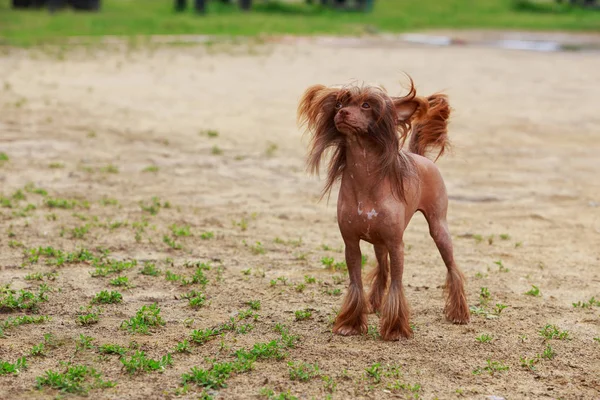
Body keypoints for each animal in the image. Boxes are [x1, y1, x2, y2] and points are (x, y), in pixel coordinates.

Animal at [298, 76, 472, 340]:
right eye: (339, 104)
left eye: (366, 105)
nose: (342, 114)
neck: (366, 180)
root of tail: (419, 156)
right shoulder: (351, 243)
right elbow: (356, 282)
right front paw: (351, 322)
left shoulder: (396, 244)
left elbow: (398, 284)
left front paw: (396, 328)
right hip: (379, 242)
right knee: (382, 267)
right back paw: (375, 303)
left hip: (438, 228)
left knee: (451, 266)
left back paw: (459, 312)